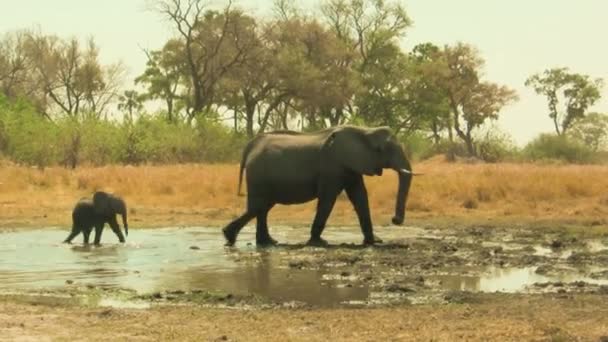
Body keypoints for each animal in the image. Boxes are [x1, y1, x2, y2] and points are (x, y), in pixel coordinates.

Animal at [223, 125, 418, 246]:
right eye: (382, 149)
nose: (394, 220)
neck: (364, 130)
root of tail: (250, 146)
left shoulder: (350, 165)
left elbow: (360, 196)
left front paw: (374, 241)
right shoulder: (333, 167)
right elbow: (328, 198)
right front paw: (319, 243)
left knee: (262, 207)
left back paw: (266, 242)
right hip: (258, 175)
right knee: (258, 206)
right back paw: (230, 237)